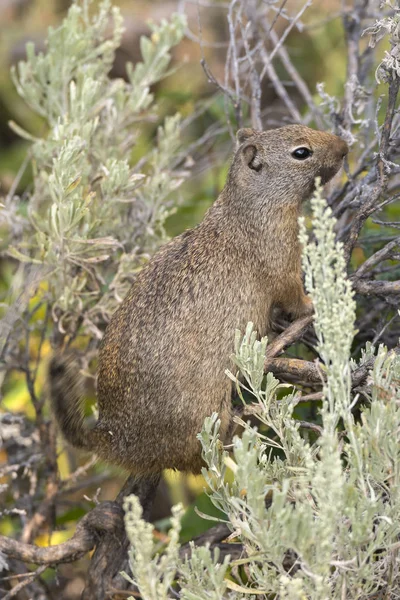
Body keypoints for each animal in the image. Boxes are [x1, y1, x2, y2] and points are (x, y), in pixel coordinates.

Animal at [48, 125, 348, 502]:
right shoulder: (283, 265)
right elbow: (295, 298)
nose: (345, 147)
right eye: (301, 152)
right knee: (203, 461)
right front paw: (316, 304)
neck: (245, 210)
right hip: (206, 415)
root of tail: (112, 438)